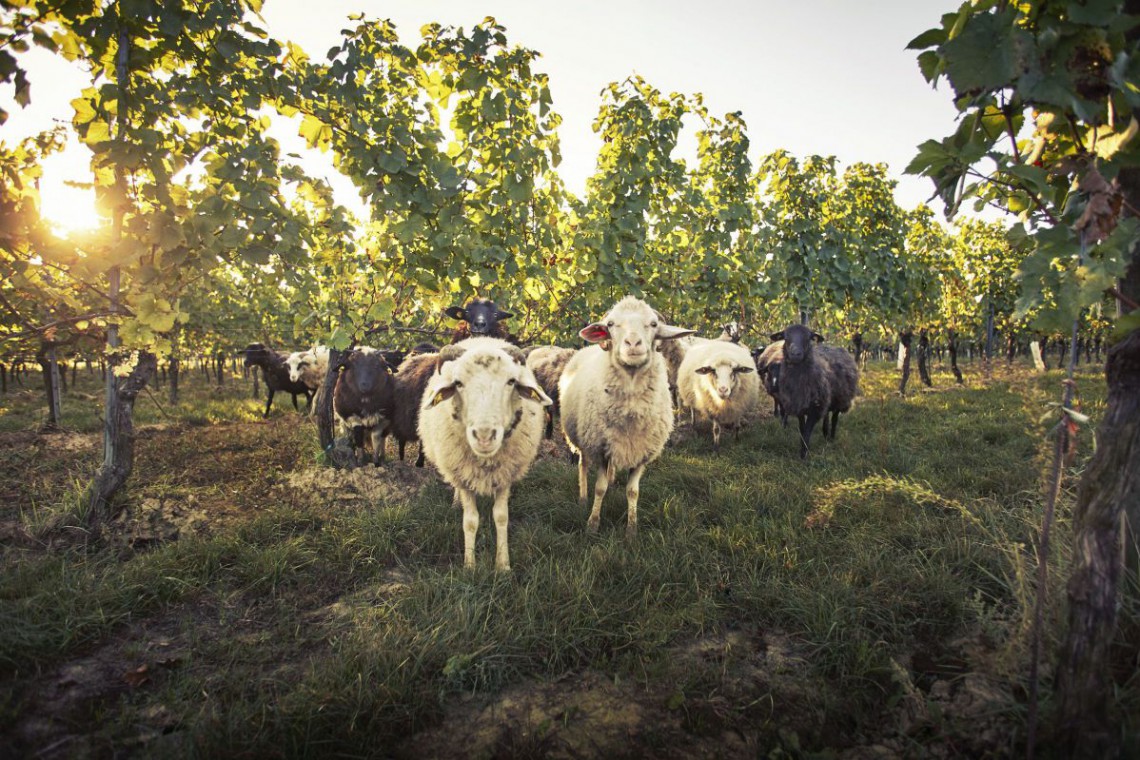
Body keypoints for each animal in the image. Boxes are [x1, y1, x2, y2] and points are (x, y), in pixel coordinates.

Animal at [419, 339, 551, 569]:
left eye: (511, 381)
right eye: (458, 383)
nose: (484, 436)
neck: (485, 459)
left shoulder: (505, 475)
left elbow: (501, 517)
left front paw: (503, 565)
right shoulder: (463, 476)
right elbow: (470, 521)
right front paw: (470, 566)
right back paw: (456, 502)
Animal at [558, 293, 693, 537]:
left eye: (653, 324)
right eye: (611, 324)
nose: (633, 344)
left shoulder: (641, 453)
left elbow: (633, 491)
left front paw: (631, 530)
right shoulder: (600, 448)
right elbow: (599, 488)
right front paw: (592, 524)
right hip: (582, 438)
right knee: (583, 464)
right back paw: (582, 498)